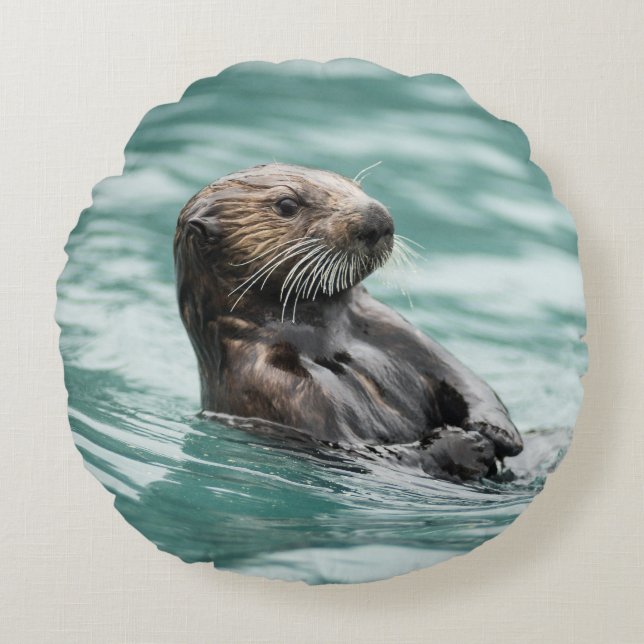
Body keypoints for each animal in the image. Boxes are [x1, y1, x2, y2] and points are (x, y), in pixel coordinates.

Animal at [174, 164, 523, 481]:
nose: (377, 217)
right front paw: (468, 445)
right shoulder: (274, 386)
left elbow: (464, 379)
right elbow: (363, 453)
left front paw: (496, 430)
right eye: (286, 205)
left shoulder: (393, 329)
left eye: (354, 186)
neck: (327, 340)